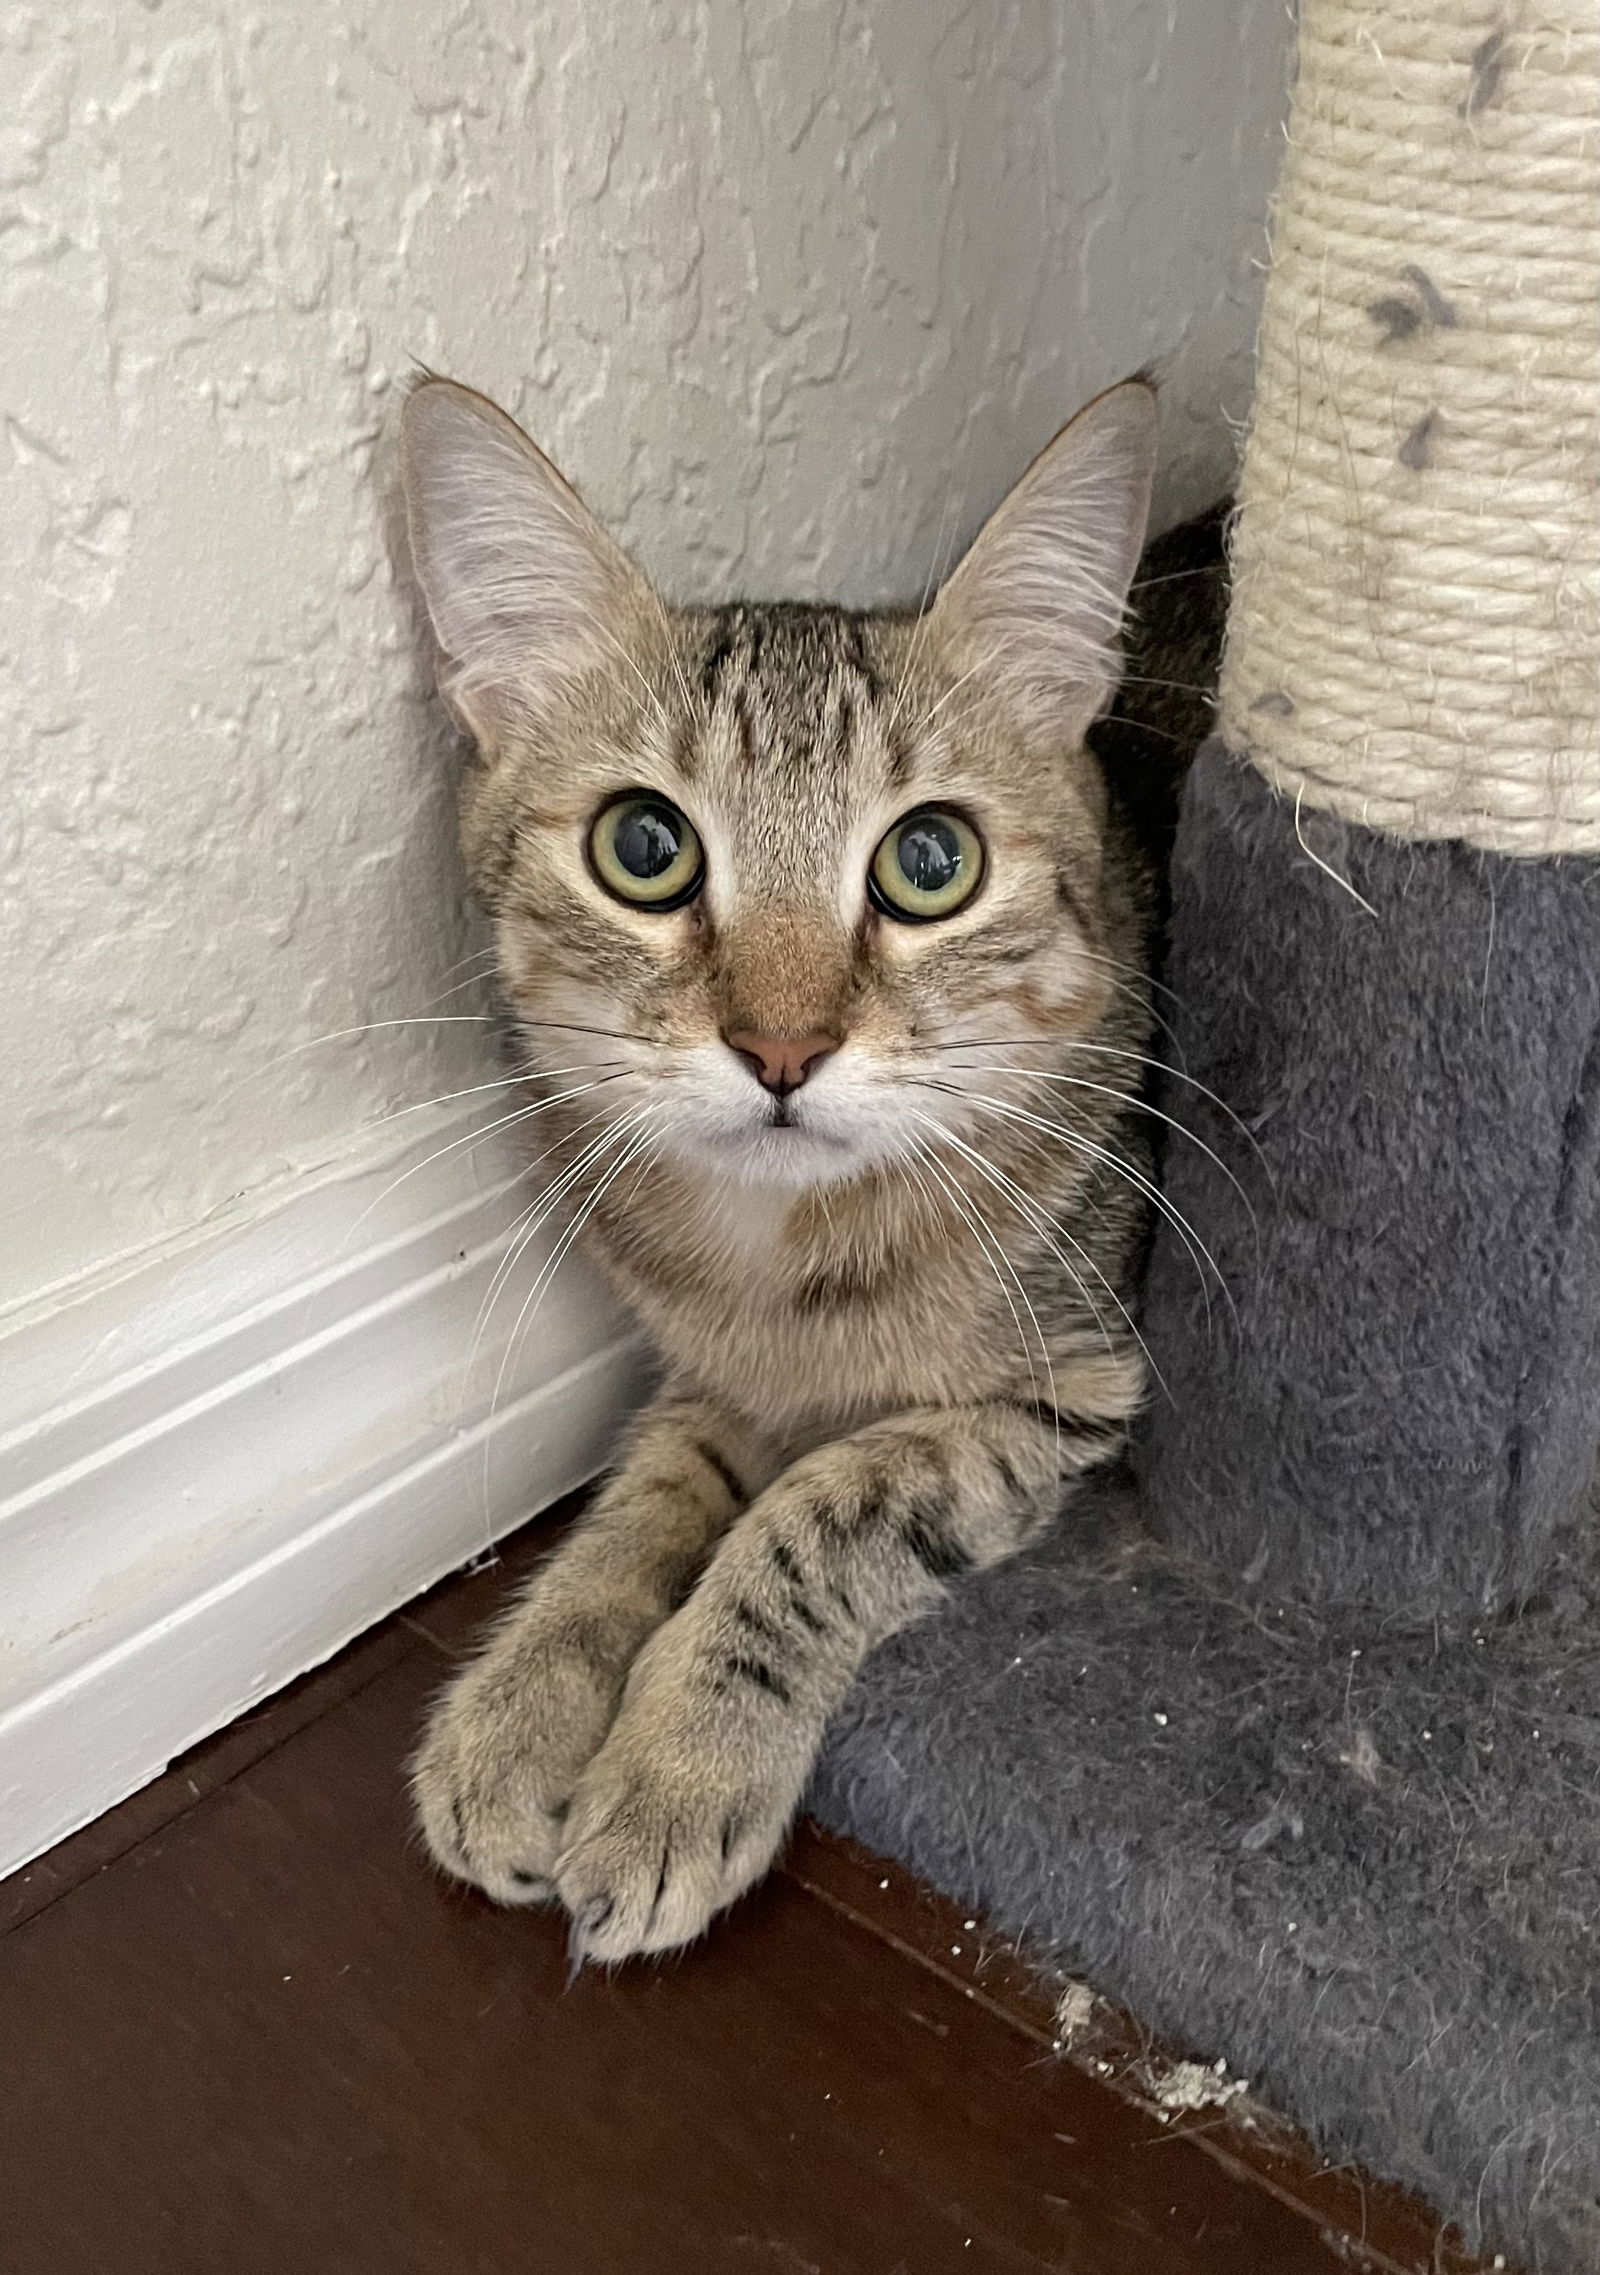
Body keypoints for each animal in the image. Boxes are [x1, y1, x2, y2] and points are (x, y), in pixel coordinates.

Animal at [402, 368, 1165, 1956]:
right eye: (643, 845)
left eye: (931, 862)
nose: (781, 1047)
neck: (782, 1259)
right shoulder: (706, 1375)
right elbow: (636, 1508)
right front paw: (525, 1698)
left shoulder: (1069, 1389)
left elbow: (819, 1513)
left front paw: (679, 1762)